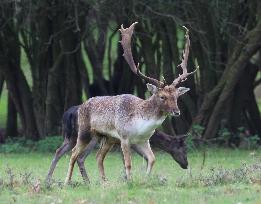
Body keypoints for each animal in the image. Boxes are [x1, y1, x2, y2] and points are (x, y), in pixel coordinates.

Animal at [45, 106, 187, 182]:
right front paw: (127, 178)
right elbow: (129, 160)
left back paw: (49, 180)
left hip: (70, 137)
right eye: (184, 148)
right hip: (88, 137)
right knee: (79, 156)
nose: (186, 164)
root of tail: (68, 114)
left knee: (60, 151)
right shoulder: (125, 142)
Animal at [64, 22, 196, 183]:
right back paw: (67, 182)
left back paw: (104, 182)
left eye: (176, 96)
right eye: (162, 96)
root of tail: (80, 106)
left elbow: (152, 159)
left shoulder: (143, 140)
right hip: (84, 131)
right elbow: (128, 163)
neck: (141, 124)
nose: (176, 111)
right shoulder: (124, 137)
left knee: (98, 157)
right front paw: (129, 181)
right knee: (73, 153)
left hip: (106, 138)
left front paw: (145, 180)